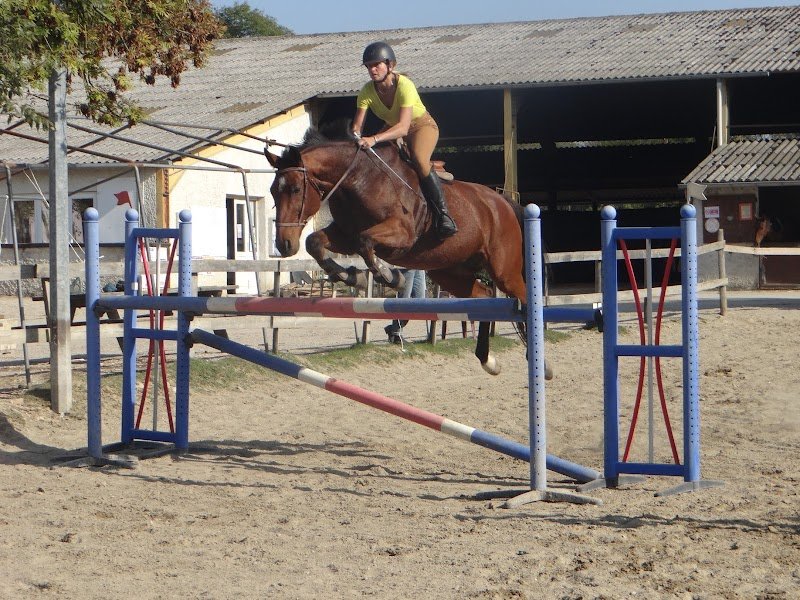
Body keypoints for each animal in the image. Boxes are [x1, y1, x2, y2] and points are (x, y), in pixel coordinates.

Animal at [265, 125, 543, 377]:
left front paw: (388, 277)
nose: (284, 245)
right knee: (484, 296)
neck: (358, 179)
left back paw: (540, 363)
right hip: (450, 272)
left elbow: (366, 242)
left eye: (295, 190)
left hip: (503, 271)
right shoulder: (344, 236)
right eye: (272, 191)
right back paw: (488, 360)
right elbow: (315, 242)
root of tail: (502, 201)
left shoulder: (402, 234)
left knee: (525, 296)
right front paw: (349, 275)